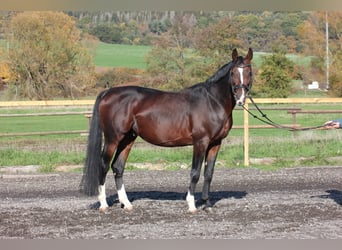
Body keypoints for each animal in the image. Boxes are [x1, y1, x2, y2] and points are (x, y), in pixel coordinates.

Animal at [79, 48, 252, 213]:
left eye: (249, 72)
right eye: (233, 72)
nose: (240, 98)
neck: (212, 101)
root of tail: (108, 92)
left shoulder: (215, 143)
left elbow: (209, 173)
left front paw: (207, 204)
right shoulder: (200, 142)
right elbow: (195, 172)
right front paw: (192, 205)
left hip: (128, 138)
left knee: (118, 167)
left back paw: (126, 204)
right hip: (112, 139)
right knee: (104, 165)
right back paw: (104, 204)